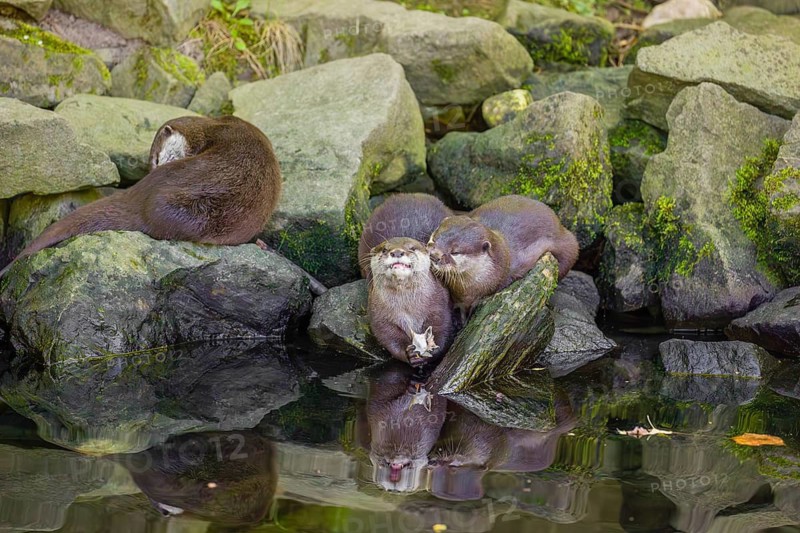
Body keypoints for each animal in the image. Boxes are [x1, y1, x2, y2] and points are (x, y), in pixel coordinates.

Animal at [368, 237, 454, 367]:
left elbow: (442, 327)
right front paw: (409, 353)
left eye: (412, 248)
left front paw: (432, 349)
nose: (397, 252)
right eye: (384, 250)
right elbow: (388, 335)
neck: (408, 309)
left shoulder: (440, 304)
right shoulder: (378, 314)